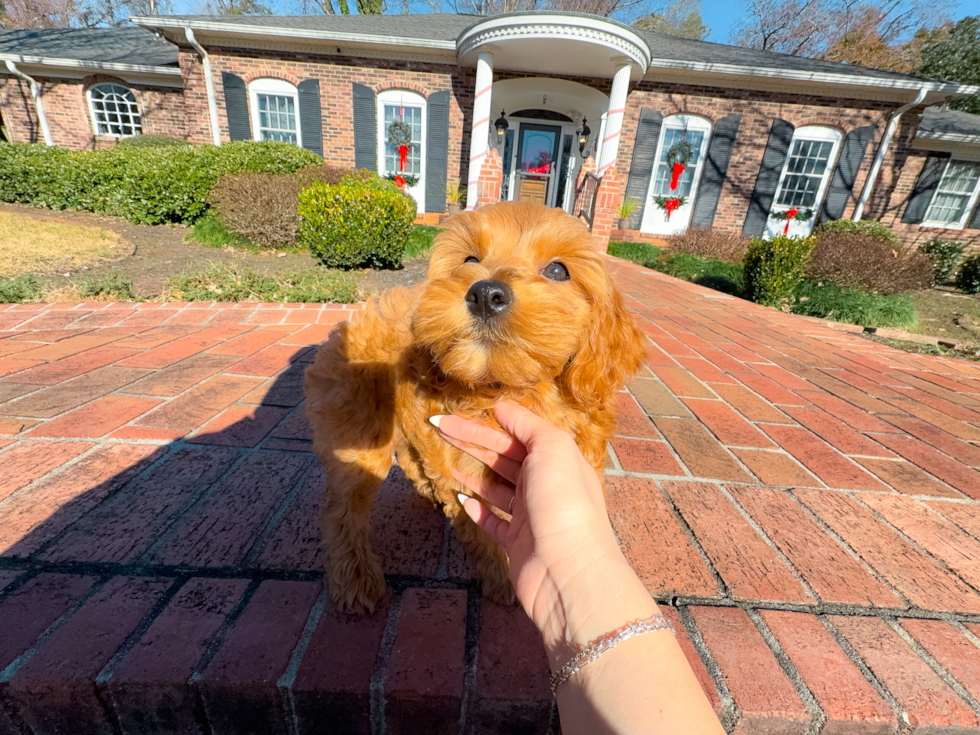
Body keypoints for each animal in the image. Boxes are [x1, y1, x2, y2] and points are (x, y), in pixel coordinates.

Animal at [302, 201, 648, 616]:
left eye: (557, 270)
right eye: (469, 259)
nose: (485, 293)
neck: (505, 388)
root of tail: (357, 319)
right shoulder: (463, 472)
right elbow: (481, 527)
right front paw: (504, 577)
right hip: (360, 435)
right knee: (343, 508)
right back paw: (355, 578)